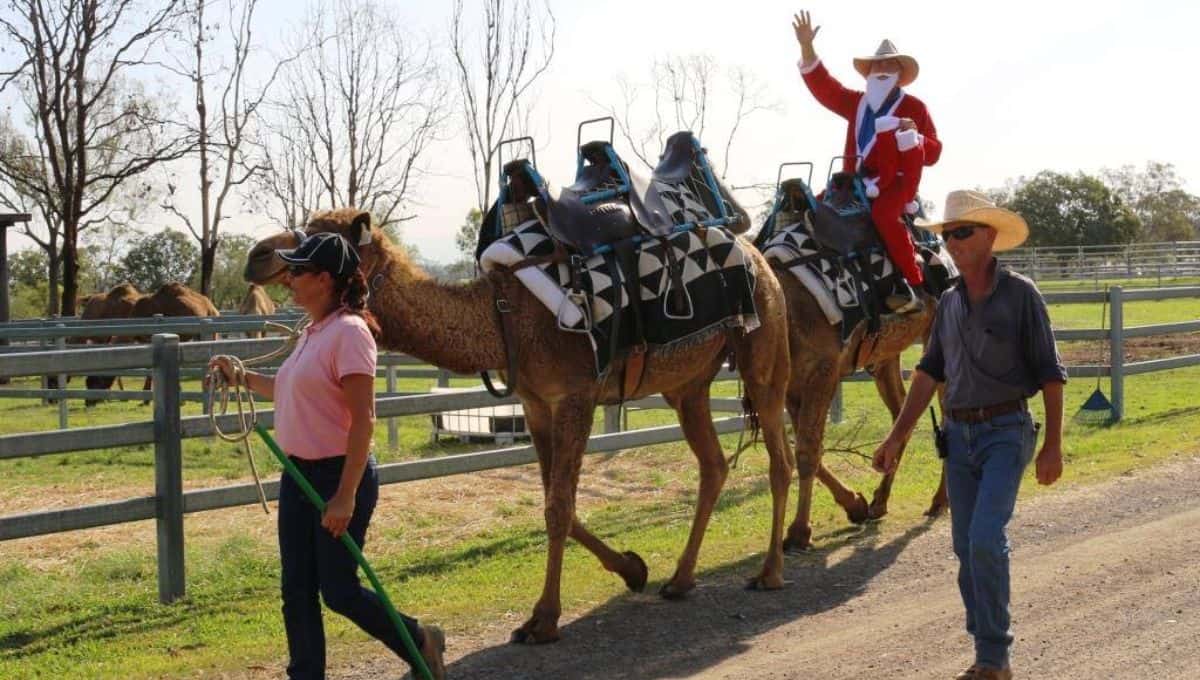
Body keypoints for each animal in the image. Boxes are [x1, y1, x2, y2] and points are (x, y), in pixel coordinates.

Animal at [246, 209, 796, 647]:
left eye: (323, 234)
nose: (257, 254)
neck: (502, 316)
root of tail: (759, 257)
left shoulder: (576, 395)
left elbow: (558, 507)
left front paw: (543, 621)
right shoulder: (535, 403)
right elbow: (555, 501)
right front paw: (632, 568)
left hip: (762, 347)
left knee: (779, 457)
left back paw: (770, 571)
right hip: (688, 385)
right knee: (714, 465)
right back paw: (680, 580)